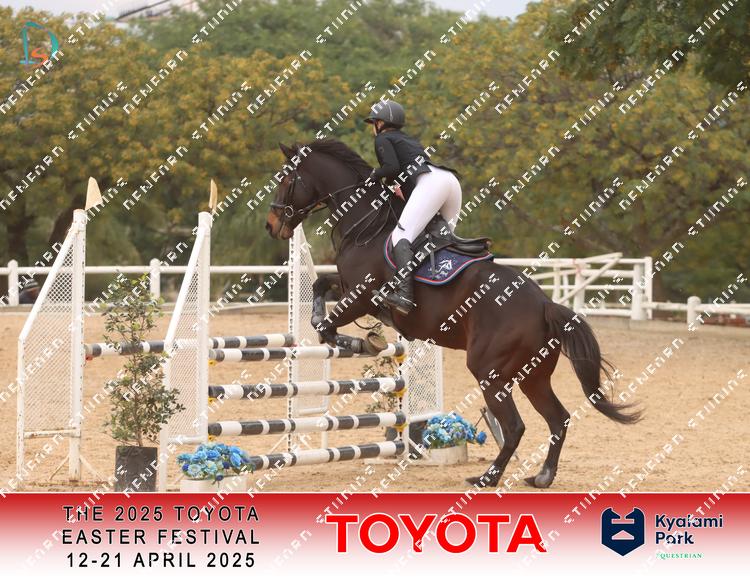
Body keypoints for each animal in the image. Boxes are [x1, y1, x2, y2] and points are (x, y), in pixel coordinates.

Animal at [265, 138, 640, 488]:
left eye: (286, 178)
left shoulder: (361, 297)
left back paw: (487, 478)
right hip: (533, 376)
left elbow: (325, 324)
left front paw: (362, 342)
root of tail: (545, 305)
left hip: (490, 371)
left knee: (514, 426)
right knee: (557, 418)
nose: (272, 225)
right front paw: (359, 336)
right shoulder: (347, 286)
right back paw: (543, 476)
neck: (366, 226)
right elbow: (320, 287)